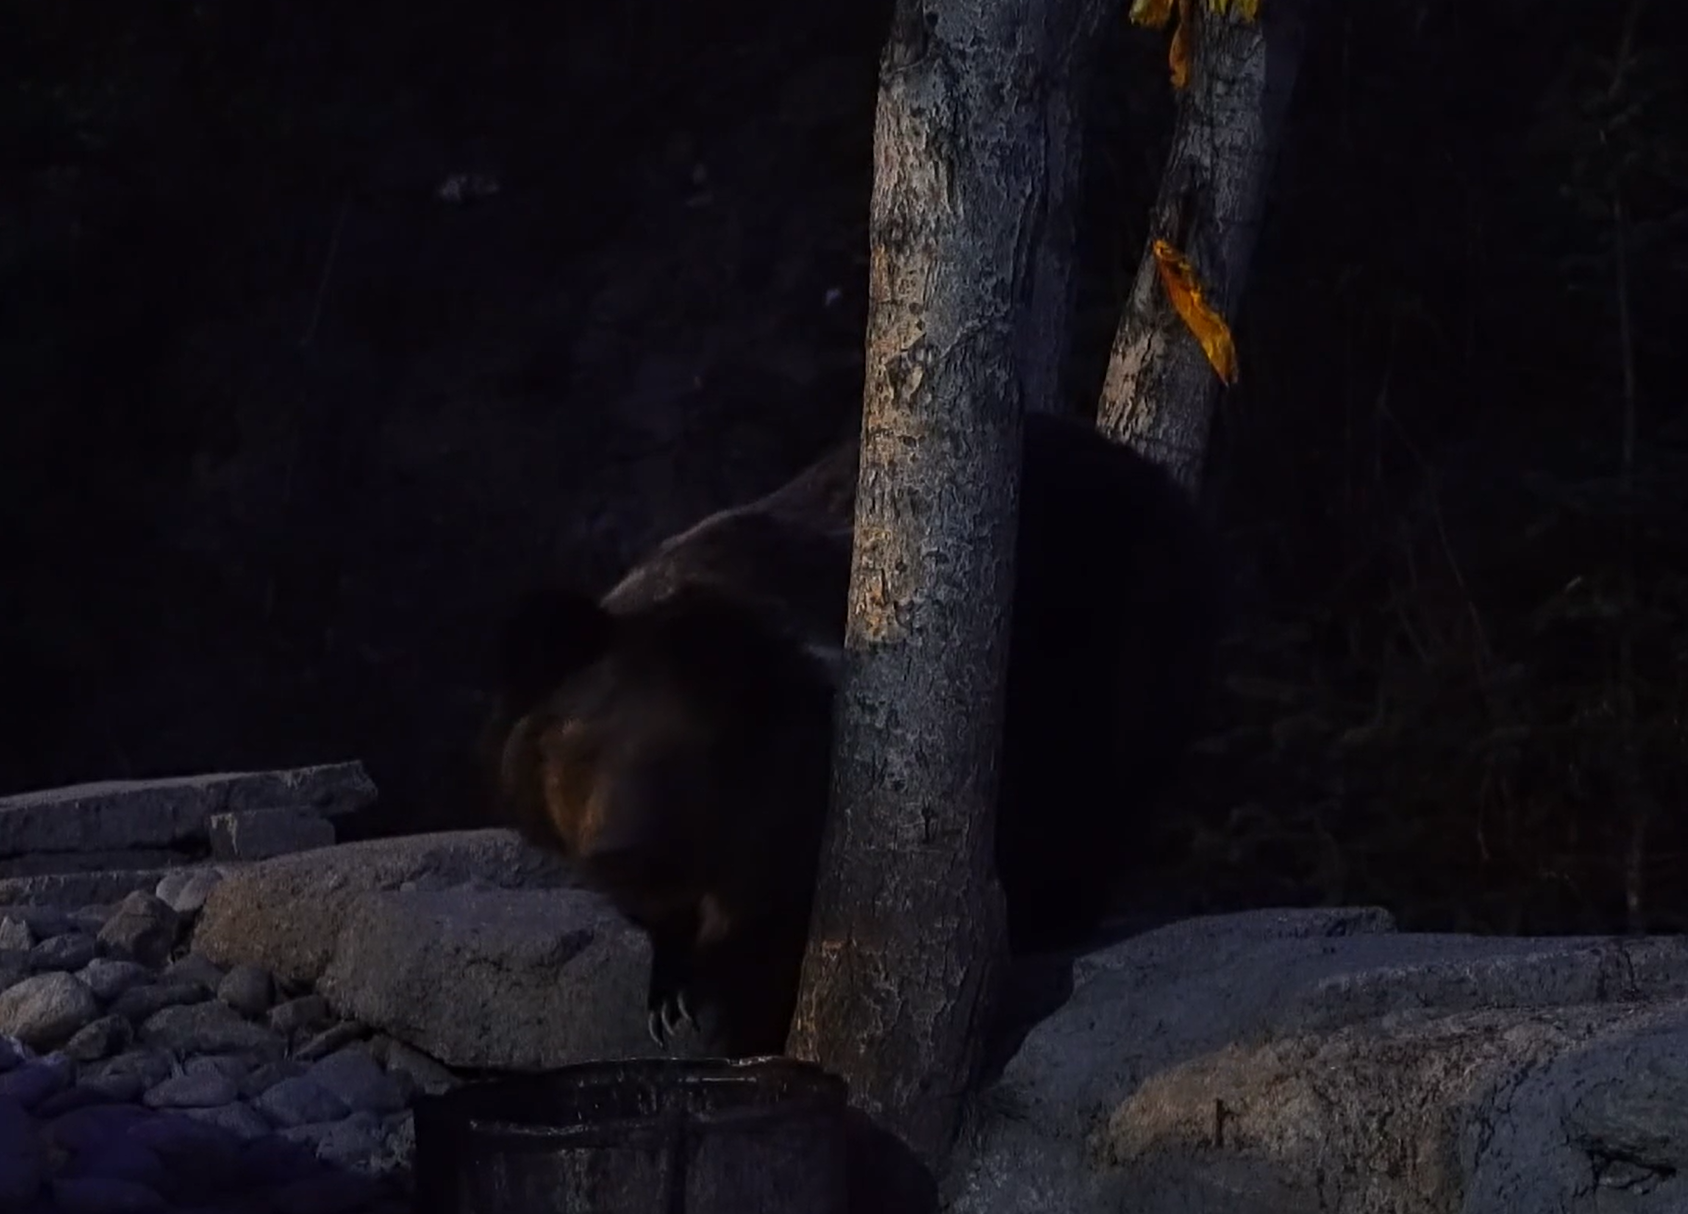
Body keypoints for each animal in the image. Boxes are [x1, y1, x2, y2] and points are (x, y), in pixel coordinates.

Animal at [482, 413, 1222, 1060]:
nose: (622, 850)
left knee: (1093, 792)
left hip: (1129, 634)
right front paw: (670, 990)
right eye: (581, 745)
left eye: (691, 756)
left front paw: (742, 1016)